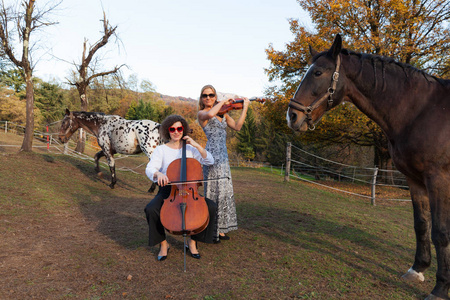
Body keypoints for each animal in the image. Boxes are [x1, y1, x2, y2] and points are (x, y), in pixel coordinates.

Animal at [286, 34, 448, 298]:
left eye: (318, 72)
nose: (292, 117)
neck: (423, 111)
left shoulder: (438, 180)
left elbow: (441, 232)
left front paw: (441, 288)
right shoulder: (415, 180)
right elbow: (421, 225)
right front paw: (417, 269)